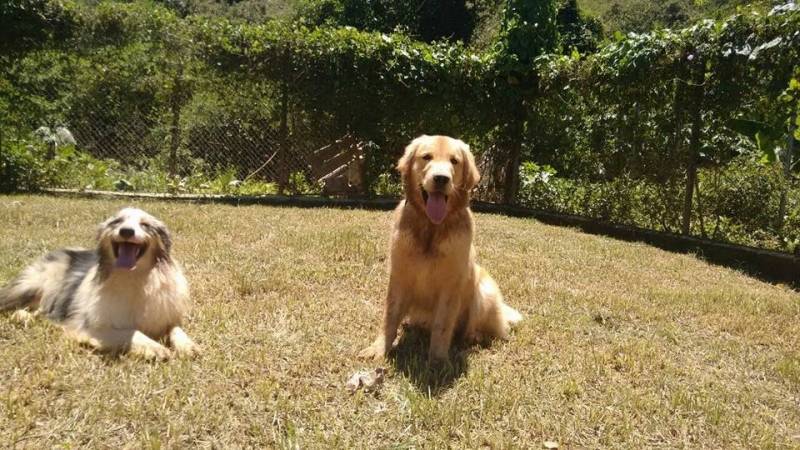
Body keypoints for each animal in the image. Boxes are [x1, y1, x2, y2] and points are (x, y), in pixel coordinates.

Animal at [0, 207, 198, 358]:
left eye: (145, 224)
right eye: (117, 222)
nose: (126, 231)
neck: (134, 278)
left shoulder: (165, 317)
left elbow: (176, 329)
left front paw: (188, 345)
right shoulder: (87, 327)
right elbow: (131, 332)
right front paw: (155, 348)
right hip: (33, 286)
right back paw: (23, 316)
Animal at [360, 136, 520, 362]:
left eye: (454, 161)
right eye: (426, 157)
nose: (441, 179)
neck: (431, 227)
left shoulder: (450, 285)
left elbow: (442, 326)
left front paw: (437, 360)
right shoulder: (399, 277)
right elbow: (389, 319)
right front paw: (379, 349)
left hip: (485, 290)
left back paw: (474, 336)